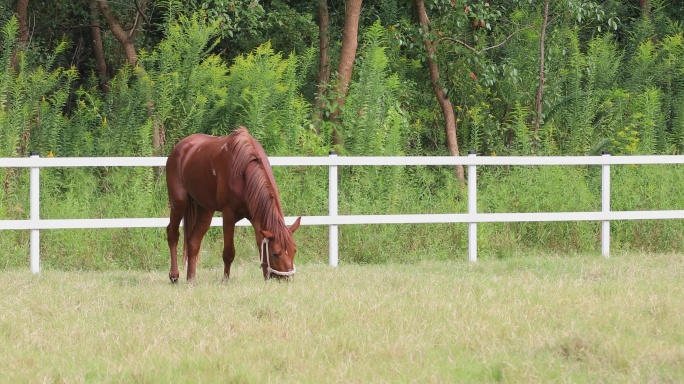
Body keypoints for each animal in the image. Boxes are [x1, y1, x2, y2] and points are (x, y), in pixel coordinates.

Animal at [164, 127, 300, 280]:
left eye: (294, 250)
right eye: (275, 254)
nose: (287, 279)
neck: (245, 170)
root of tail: (180, 146)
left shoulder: (256, 218)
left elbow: (261, 248)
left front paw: (265, 279)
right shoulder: (229, 215)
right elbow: (228, 253)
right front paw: (225, 280)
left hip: (205, 210)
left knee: (193, 242)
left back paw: (191, 279)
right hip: (178, 203)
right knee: (172, 234)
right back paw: (174, 275)